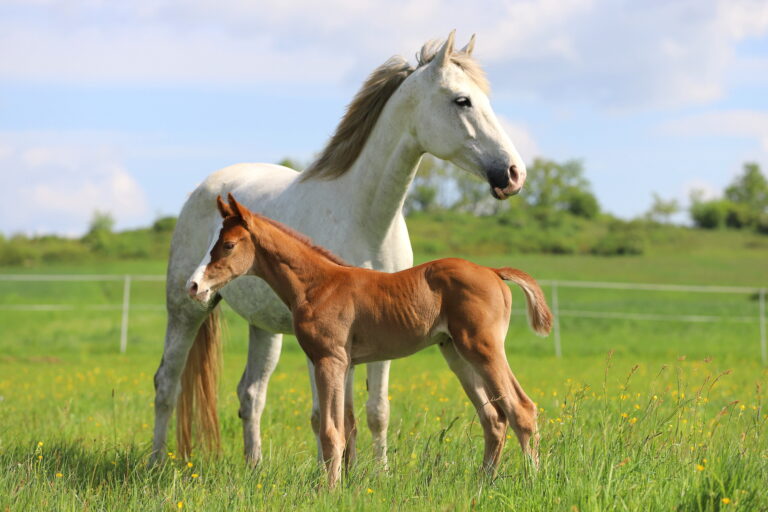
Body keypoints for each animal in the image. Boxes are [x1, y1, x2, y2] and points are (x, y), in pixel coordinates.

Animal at [151, 31, 529, 467]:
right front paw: (331, 472)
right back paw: (156, 464)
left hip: (264, 327)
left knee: (251, 394)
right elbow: (325, 416)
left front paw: (376, 473)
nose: (513, 174)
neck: (367, 221)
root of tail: (206, 188)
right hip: (185, 309)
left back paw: (254, 467)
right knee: (167, 384)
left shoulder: (379, 331)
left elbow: (374, 411)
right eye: (462, 100)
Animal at [187, 194, 552, 487]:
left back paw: (532, 480)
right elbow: (347, 427)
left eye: (228, 245)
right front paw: (346, 484)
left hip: (483, 348)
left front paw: (329, 491)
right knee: (494, 418)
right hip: (457, 354)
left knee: (521, 409)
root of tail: (493, 271)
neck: (317, 285)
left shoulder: (329, 360)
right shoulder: (346, 364)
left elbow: (331, 431)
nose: (193, 285)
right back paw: (483, 481)